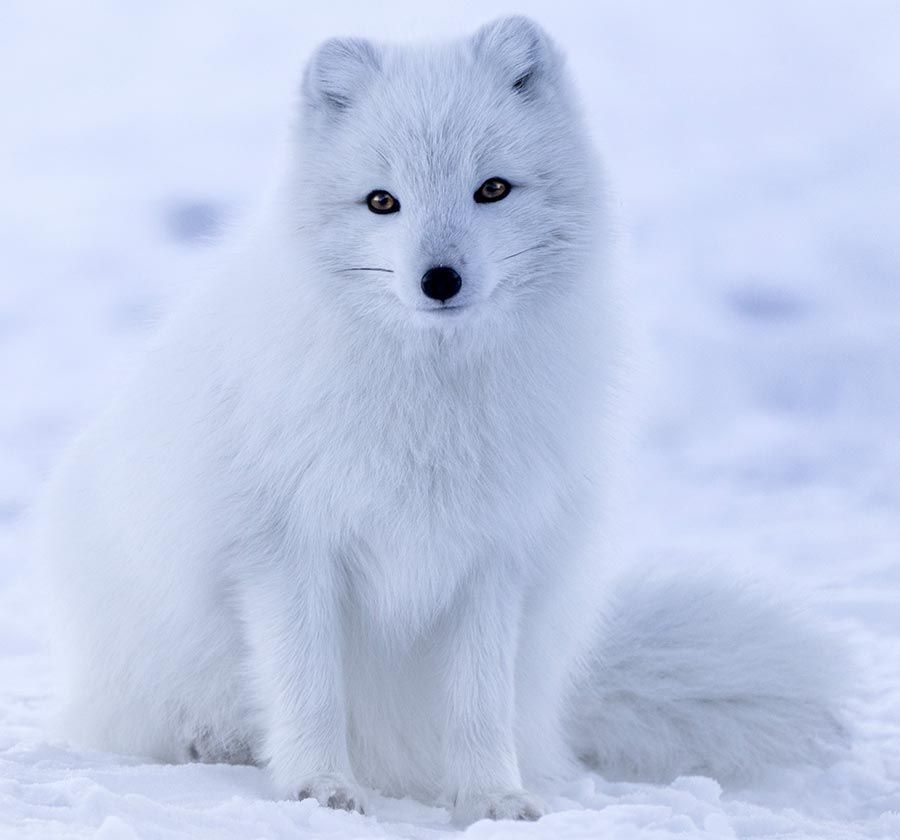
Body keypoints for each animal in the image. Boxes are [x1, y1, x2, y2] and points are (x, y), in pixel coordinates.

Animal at [40, 17, 844, 825]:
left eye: (491, 188)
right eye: (381, 202)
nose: (439, 280)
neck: (432, 401)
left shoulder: (494, 556)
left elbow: (479, 703)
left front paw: (492, 798)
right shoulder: (285, 549)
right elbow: (308, 688)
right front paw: (318, 787)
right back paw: (217, 743)